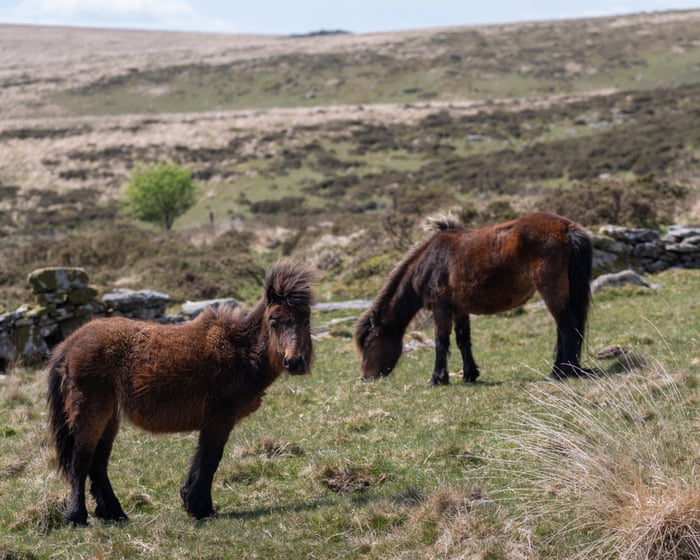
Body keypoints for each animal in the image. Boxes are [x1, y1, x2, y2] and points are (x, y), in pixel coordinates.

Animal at [47, 260, 316, 526]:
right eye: (274, 321)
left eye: (305, 321)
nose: (295, 362)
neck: (240, 350)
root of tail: (69, 344)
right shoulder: (219, 417)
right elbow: (209, 458)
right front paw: (200, 507)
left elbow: (205, 458)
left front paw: (195, 503)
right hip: (91, 411)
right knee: (81, 461)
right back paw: (77, 517)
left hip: (109, 416)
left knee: (98, 464)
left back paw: (114, 513)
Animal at [355, 212, 593, 385]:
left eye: (368, 343)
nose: (365, 377)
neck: (429, 262)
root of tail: (566, 228)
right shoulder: (460, 308)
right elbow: (463, 340)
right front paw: (470, 375)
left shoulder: (441, 307)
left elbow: (441, 340)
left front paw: (437, 379)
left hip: (550, 289)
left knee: (566, 326)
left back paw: (560, 372)